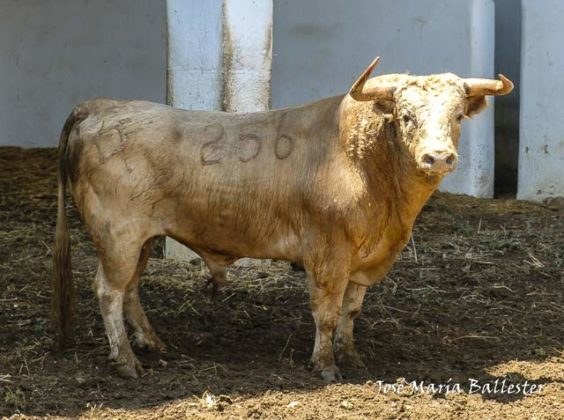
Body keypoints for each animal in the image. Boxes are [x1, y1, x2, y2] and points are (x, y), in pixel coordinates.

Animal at [51, 57, 512, 382]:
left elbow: (350, 311)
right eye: (406, 116)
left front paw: (351, 355)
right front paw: (325, 365)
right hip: (118, 237)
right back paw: (127, 361)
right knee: (109, 290)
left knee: (129, 290)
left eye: (456, 116)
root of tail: (102, 106)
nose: (438, 156)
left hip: (141, 240)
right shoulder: (328, 255)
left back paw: (153, 343)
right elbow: (326, 311)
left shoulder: (365, 261)